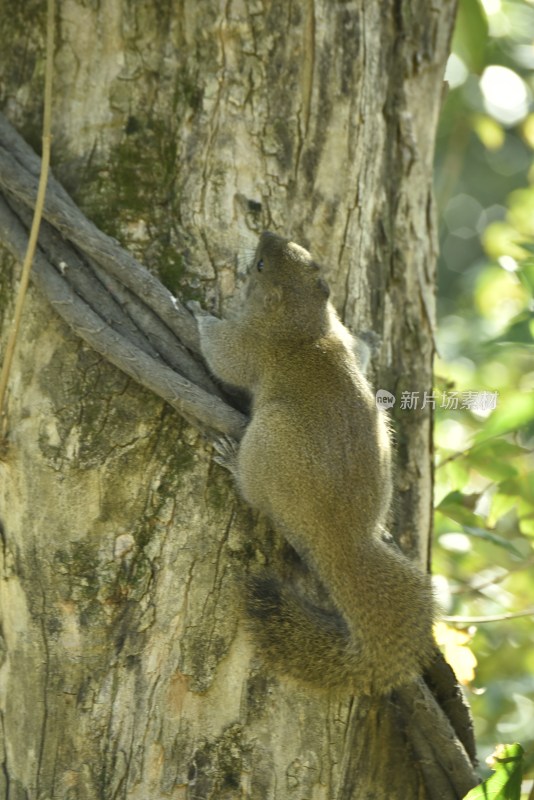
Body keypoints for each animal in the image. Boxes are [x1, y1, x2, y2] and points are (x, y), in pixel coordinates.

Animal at [195, 231, 438, 692]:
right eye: (310, 261)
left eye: (260, 266)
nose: (267, 234)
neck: (306, 325)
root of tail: (340, 537)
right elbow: (360, 350)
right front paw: (370, 339)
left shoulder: (251, 348)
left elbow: (222, 356)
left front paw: (196, 313)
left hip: (271, 438)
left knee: (253, 490)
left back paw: (234, 462)